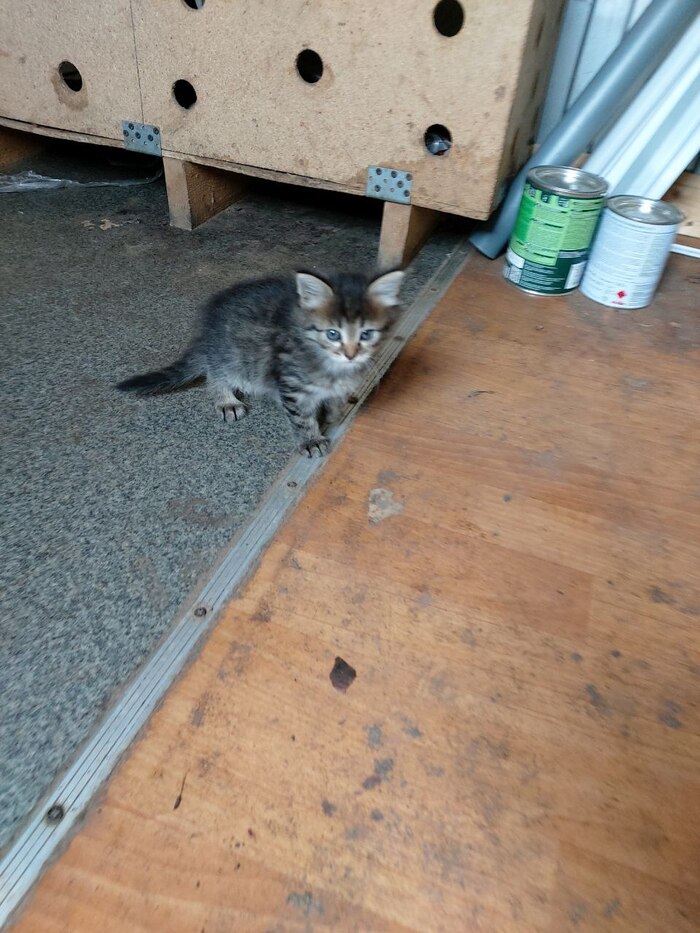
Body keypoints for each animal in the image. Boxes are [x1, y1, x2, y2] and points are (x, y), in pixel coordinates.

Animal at [116, 268, 404, 457]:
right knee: (215, 373)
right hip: (233, 359)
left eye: (366, 334)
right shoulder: (290, 384)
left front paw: (336, 412)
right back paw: (226, 400)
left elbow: (334, 399)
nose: (351, 354)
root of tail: (208, 331)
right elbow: (302, 417)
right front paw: (310, 440)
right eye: (333, 334)